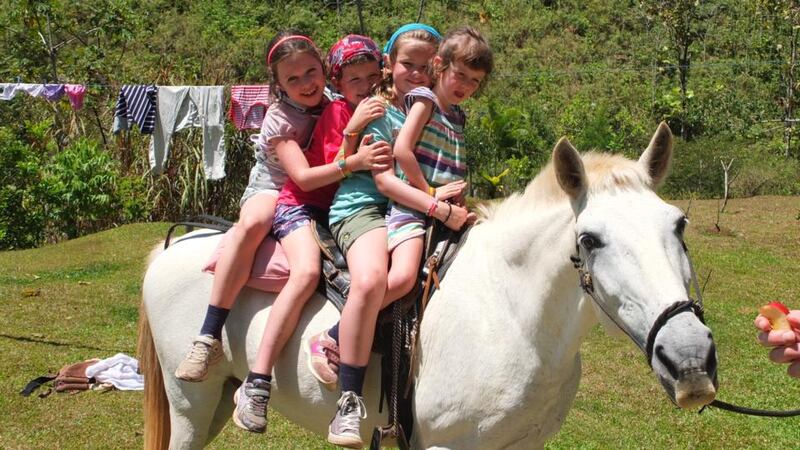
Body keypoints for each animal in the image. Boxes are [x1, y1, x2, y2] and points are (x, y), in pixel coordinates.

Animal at [138, 123, 720, 450]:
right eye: (591, 239)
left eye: (679, 224)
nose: (690, 359)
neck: (508, 315)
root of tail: (172, 246)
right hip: (191, 404)